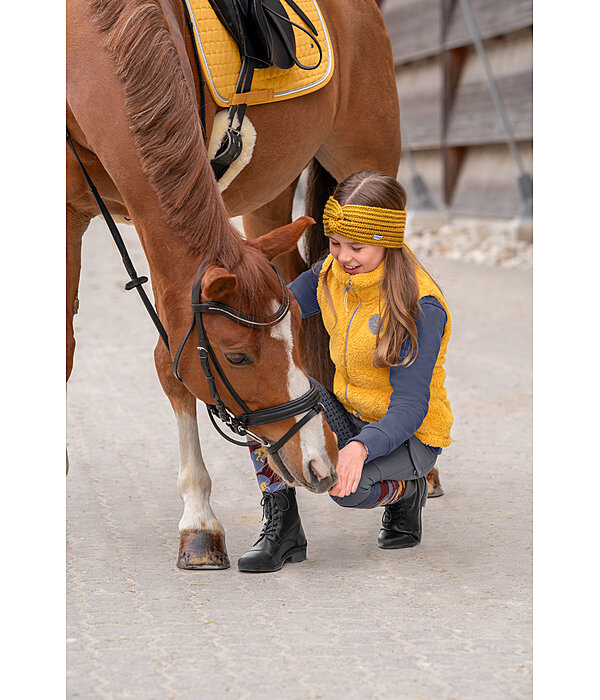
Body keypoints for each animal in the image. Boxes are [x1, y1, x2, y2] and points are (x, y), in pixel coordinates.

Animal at [68, 0, 412, 568]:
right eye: (237, 357)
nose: (314, 464)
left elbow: (170, 361)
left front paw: (198, 521)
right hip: (270, 198)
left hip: (368, 165)